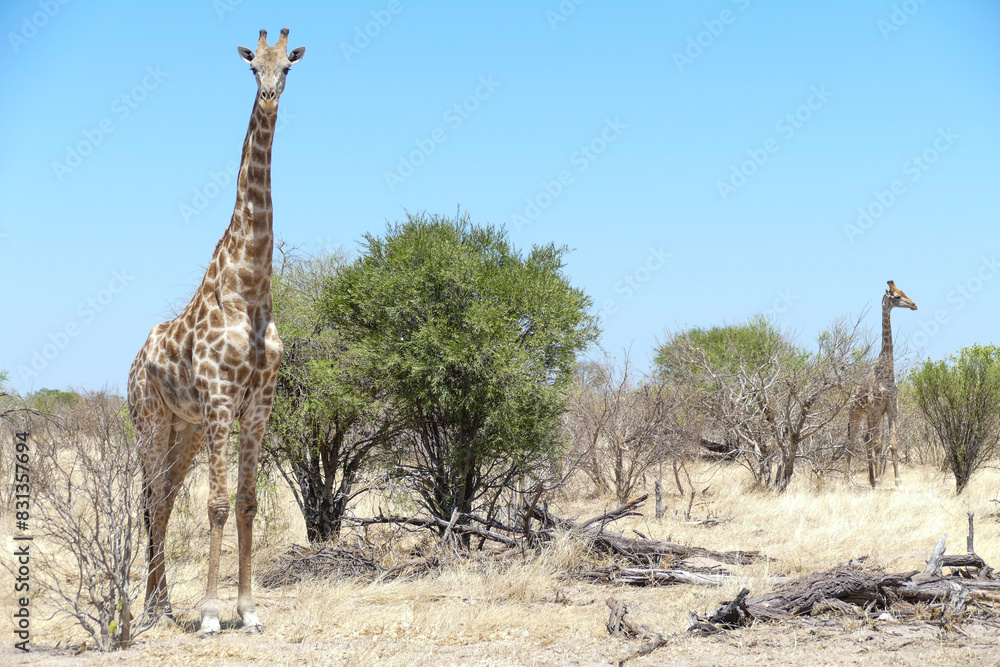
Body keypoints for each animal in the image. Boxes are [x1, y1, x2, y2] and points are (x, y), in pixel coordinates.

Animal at [127, 28, 304, 634]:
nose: (270, 96)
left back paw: (159, 603)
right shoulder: (221, 397)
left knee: (160, 499)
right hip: (152, 421)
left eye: (288, 66)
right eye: (253, 68)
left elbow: (246, 503)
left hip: (184, 429)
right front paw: (209, 614)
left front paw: (248, 611)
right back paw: (154, 608)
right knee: (154, 500)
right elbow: (218, 505)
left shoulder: (259, 402)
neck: (249, 287)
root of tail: (131, 366)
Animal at [846, 280, 917, 489]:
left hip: (870, 415)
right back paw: (847, 480)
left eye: (904, 292)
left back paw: (870, 478)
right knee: (852, 442)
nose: (914, 305)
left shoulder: (891, 408)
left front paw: (897, 481)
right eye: (897, 296)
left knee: (867, 439)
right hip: (856, 412)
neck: (886, 374)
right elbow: (878, 444)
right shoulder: (877, 409)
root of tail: (852, 392)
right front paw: (879, 480)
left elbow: (892, 443)